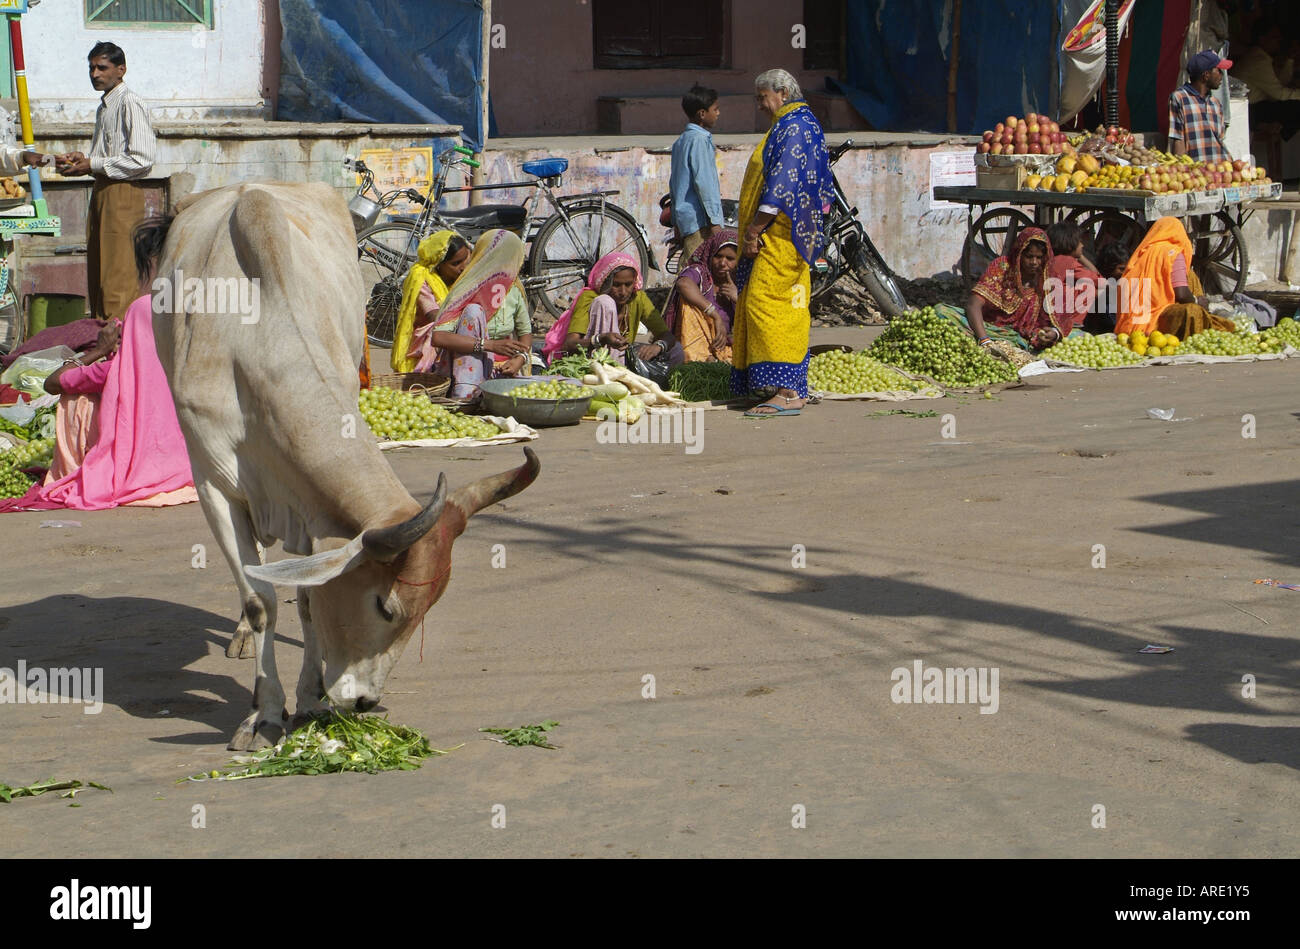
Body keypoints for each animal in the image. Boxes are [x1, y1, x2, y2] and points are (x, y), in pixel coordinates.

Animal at [150, 181, 538, 750]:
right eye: (384, 607)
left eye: (427, 609)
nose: (364, 702)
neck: (257, 337)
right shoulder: (213, 484)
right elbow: (261, 601)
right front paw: (265, 713)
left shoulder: (312, 505)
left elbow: (309, 599)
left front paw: (309, 698)